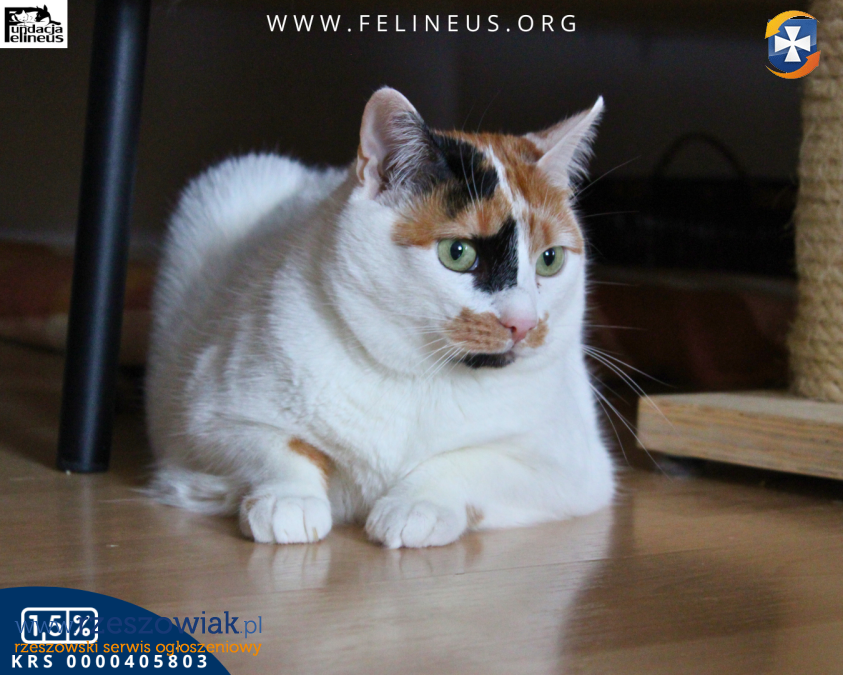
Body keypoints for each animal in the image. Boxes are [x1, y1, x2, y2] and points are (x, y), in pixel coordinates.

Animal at [146, 87, 615, 548]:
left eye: (550, 260)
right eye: (457, 253)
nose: (524, 323)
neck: (421, 378)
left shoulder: (574, 467)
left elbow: (472, 461)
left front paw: (417, 505)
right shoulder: (210, 414)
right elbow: (276, 446)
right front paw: (288, 500)